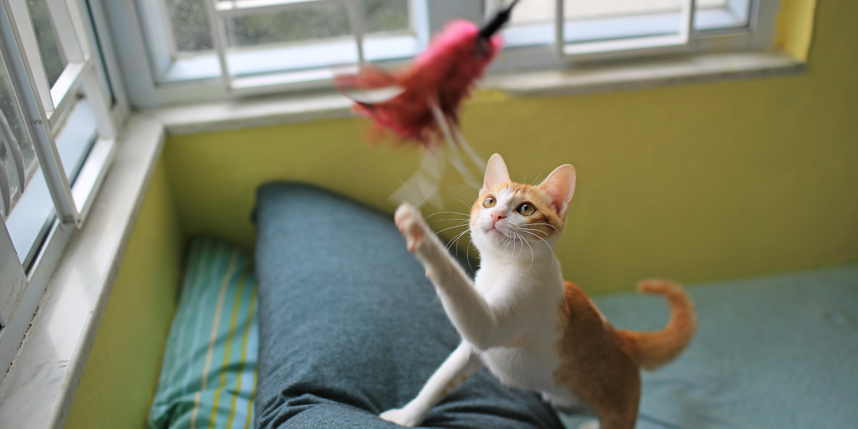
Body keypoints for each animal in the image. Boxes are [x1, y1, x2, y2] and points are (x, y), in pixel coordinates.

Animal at [382, 154, 696, 428]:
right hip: (569, 400)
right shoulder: (471, 351)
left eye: (525, 209)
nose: (496, 214)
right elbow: (440, 379)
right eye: (490, 201)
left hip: (617, 408)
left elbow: (457, 286)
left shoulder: (502, 318)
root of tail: (623, 338)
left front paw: (419, 232)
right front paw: (407, 416)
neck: (502, 267)